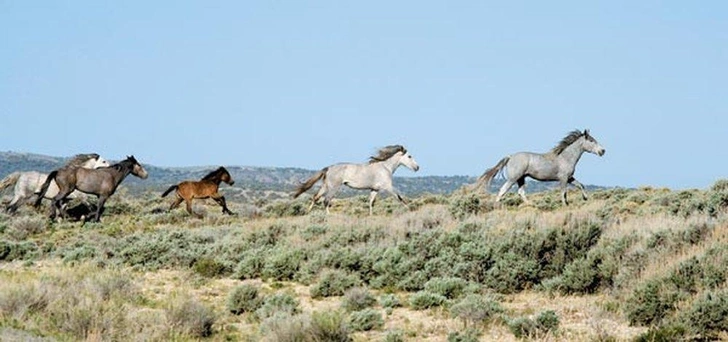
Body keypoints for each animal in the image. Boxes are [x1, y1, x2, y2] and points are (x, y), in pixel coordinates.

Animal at [292, 144, 420, 214]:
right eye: (409, 156)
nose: (417, 167)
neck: (385, 167)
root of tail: (329, 168)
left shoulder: (375, 189)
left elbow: (371, 202)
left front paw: (370, 216)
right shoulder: (388, 187)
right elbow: (400, 198)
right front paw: (410, 209)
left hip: (326, 186)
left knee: (315, 197)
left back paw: (307, 213)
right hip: (334, 187)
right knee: (326, 201)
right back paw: (329, 216)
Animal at [470, 129, 604, 206]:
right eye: (591, 140)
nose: (603, 151)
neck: (565, 157)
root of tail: (511, 156)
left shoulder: (570, 178)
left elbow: (580, 185)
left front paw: (585, 198)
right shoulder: (563, 178)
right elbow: (563, 193)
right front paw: (565, 205)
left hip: (521, 178)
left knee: (521, 192)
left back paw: (531, 205)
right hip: (513, 178)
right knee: (503, 190)